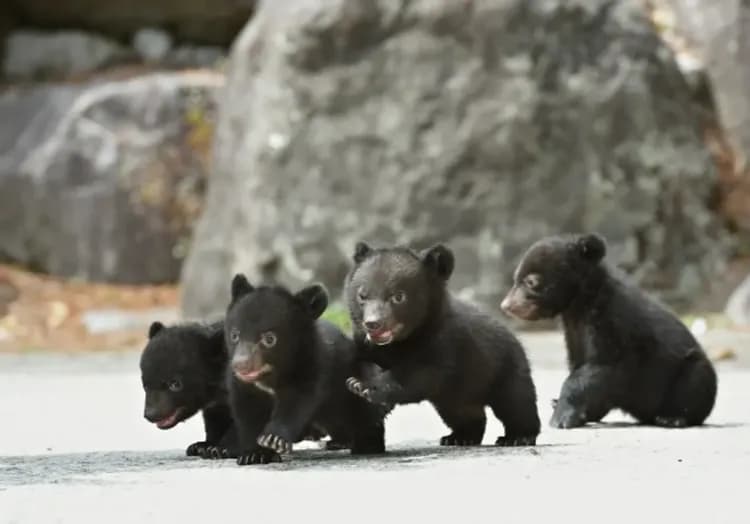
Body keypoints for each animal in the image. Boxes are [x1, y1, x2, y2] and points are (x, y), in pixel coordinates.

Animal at [225, 274, 387, 466]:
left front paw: (273, 439)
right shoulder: (244, 385)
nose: (241, 364)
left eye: (270, 339)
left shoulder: (311, 365)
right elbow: (248, 411)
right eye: (235, 335)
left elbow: (296, 402)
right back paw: (339, 442)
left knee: (366, 409)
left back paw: (367, 445)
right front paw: (254, 454)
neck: (270, 375)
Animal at [343, 242, 541, 447]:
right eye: (362, 295)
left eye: (398, 296)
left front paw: (362, 386)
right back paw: (460, 436)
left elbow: (418, 374)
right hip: (456, 396)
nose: (373, 324)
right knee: (463, 413)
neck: (401, 341)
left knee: (515, 402)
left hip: (504, 366)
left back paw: (517, 436)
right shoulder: (366, 345)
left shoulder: (443, 343)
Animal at [500, 232, 718, 429]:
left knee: (695, 381)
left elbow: (603, 365)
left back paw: (672, 418)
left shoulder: (612, 322)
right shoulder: (573, 331)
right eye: (515, 279)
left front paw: (560, 418)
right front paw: (575, 413)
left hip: (685, 373)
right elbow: (580, 364)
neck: (580, 304)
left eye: (531, 282)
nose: (506, 306)